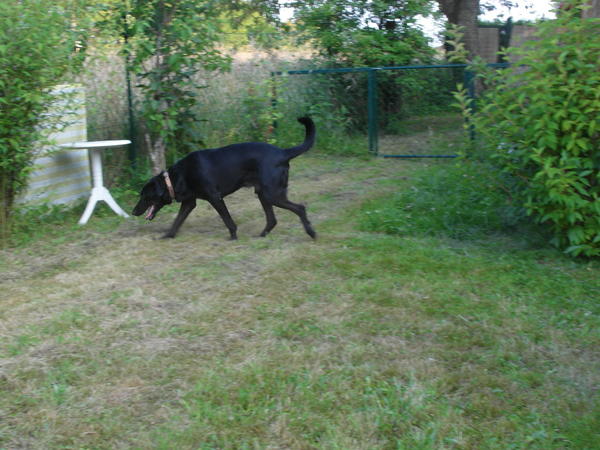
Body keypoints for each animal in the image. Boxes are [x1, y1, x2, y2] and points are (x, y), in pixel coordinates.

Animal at [133, 118, 316, 241]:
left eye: (144, 195)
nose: (134, 212)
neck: (176, 177)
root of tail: (283, 153)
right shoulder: (189, 203)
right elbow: (177, 221)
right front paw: (167, 236)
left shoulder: (215, 197)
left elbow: (228, 220)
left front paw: (233, 236)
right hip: (263, 194)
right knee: (272, 220)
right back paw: (261, 236)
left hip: (272, 194)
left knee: (300, 208)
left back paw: (311, 233)